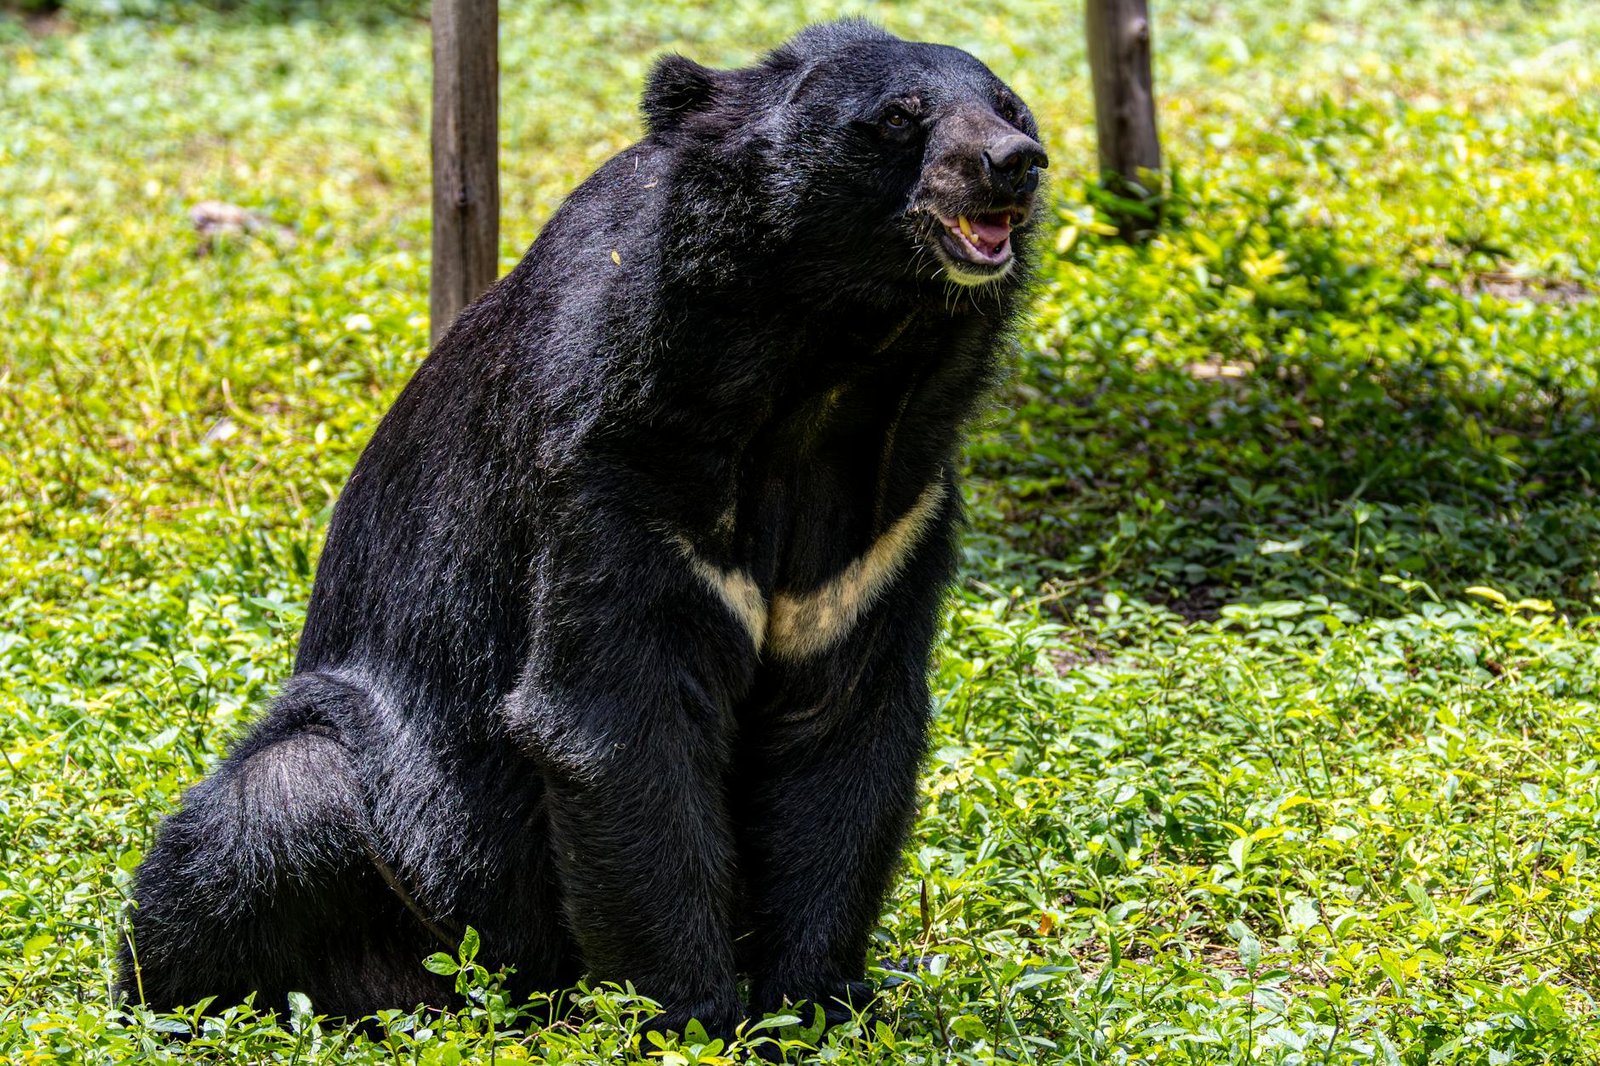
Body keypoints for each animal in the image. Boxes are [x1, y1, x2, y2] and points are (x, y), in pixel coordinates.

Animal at [118, 18, 1047, 1040]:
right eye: (897, 118)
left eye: (1009, 106)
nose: (1014, 165)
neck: (831, 367)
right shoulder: (617, 460)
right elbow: (617, 717)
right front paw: (693, 1020)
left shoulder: (887, 521)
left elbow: (843, 727)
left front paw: (814, 1005)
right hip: (405, 829)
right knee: (266, 817)